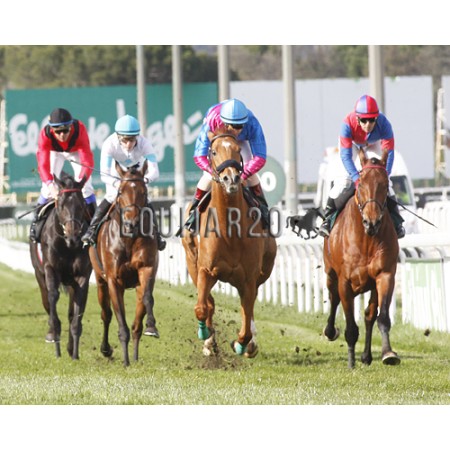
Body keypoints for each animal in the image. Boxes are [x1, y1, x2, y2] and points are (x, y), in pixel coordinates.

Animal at [29, 171, 92, 359]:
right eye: (62, 204)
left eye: (81, 205)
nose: (73, 237)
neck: (67, 245)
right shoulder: (50, 269)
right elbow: (52, 297)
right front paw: (55, 339)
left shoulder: (82, 275)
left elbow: (76, 311)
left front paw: (74, 352)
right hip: (39, 273)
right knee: (46, 300)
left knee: (72, 310)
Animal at [89, 161, 159, 366]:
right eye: (120, 191)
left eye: (144, 191)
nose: (131, 224)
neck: (128, 239)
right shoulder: (113, 280)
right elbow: (120, 320)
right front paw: (125, 361)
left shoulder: (146, 270)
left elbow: (147, 299)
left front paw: (151, 327)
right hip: (100, 281)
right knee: (106, 314)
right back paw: (106, 349)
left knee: (136, 324)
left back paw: (135, 356)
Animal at [181, 129, 277, 358]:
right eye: (214, 151)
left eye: (237, 150)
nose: (231, 178)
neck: (229, 230)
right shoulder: (205, 270)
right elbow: (201, 307)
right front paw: (205, 335)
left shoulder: (249, 278)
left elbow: (247, 314)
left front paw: (243, 344)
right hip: (193, 265)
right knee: (209, 303)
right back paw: (209, 340)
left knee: (248, 307)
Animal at [322, 148, 401, 368]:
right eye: (362, 183)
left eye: (385, 184)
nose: (371, 222)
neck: (366, 238)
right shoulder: (345, 281)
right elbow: (350, 327)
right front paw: (351, 363)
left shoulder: (385, 275)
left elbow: (382, 317)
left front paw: (388, 353)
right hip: (331, 274)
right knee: (333, 299)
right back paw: (330, 331)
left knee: (369, 315)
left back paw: (366, 356)